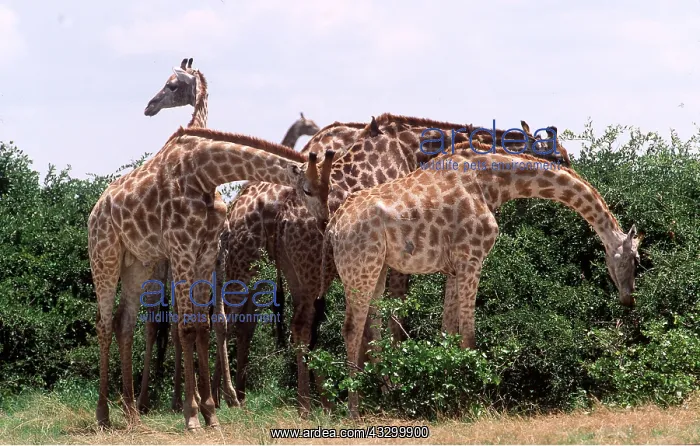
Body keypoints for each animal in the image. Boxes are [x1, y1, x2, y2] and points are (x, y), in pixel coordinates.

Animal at [88, 125, 334, 430]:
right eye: (307, 190)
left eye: (329, 189)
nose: (324, 222)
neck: (205, 174)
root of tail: (95, 209)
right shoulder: (181, 247)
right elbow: (186, 328)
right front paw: (192, 415)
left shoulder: (206, 253)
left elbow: (203, 327)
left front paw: (210, 412)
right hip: (104, 255)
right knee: (104, 324)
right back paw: (103, 415)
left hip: (137, 264)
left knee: (124, 323)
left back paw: (132, 413)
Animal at [317, 145, 640, 418]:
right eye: (636, 260)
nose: (629, 299)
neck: (492, 185)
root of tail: (333, 226)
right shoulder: (472, 257)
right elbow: (469, 335)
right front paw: (474, 401)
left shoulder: (453, 267)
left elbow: (446, 331)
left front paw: (444, 394)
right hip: (361, 263)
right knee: (351, 329)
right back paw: (354, 410)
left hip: (379, 266)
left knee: (372, 329)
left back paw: (384, 398)